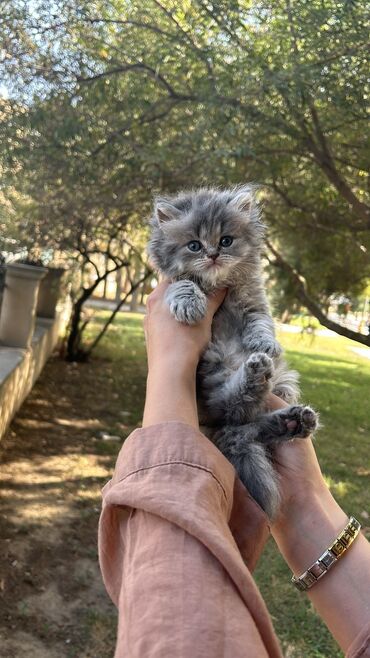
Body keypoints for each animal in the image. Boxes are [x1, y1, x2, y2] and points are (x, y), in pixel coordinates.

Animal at [148, 184, 318, 516]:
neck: (219, 285)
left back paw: (289, 413)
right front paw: (190, 304)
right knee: (237, 409)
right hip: (214, 372)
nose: (213, 254)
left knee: (245, 417)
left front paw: (265, 343)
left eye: (226, 240)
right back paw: (264, 385)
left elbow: (261, 324)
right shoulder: (171, 283)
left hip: (283, 382)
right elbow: (183, 286)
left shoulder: (255, 302)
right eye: (194, 246)